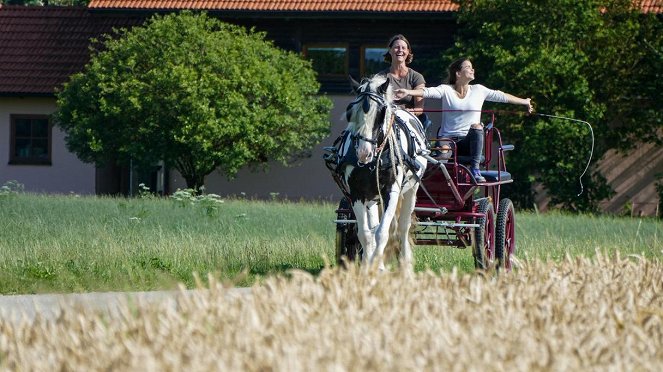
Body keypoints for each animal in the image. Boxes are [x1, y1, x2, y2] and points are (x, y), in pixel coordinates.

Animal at [338, 75, 430, 270]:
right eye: (351, 111)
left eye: (381, 113)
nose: (363, 153)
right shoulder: (357, 194)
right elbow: (365, 234)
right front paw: (368, 267)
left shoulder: (391, 192)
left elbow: (383, 232)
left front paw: (375, 264)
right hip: (372, 197)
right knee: (373, 226)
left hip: (411, 190)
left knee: (403, 227)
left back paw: (405, 264)